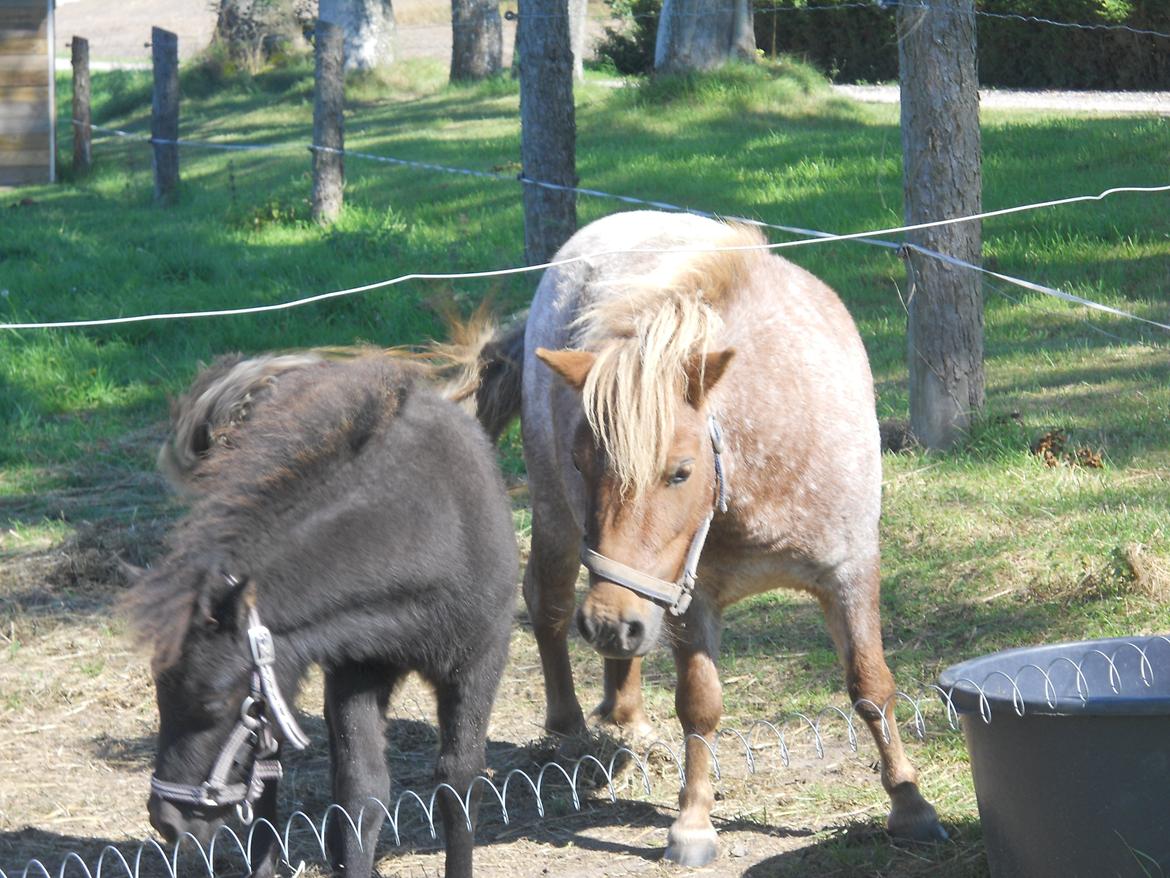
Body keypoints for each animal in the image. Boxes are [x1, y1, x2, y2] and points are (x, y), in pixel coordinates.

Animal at [479, 211, 945, 866]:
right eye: (581, 461)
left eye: (680, 471)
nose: (605, 623)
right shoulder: (690, 600)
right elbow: (700, 706)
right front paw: (693, 825)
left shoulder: (850, 572)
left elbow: (871, 687)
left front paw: (910, 804)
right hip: (557, 521)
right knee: (548, 604)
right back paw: (568, 729)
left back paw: (626, 713)